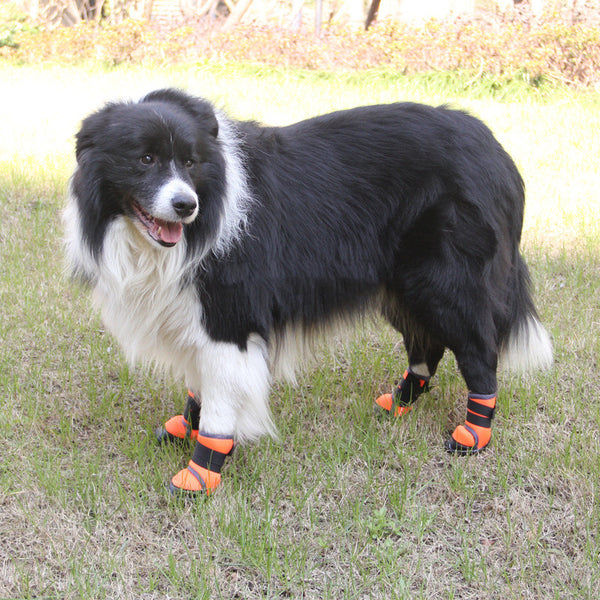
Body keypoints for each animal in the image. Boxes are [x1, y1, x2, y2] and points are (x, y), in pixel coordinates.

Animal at [63, 88, 552, 492]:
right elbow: (200, 383)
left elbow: (221, 399)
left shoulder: (229, 318)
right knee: (426, 344)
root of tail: (496, 150)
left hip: (447, 281)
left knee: (478, 349)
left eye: (189, 162)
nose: (186, 206)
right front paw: (186, 428)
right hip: (402, 283)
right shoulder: (196, 316)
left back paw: (473, 434)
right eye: (144, 159)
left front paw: (202, 470)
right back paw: (399, 401)